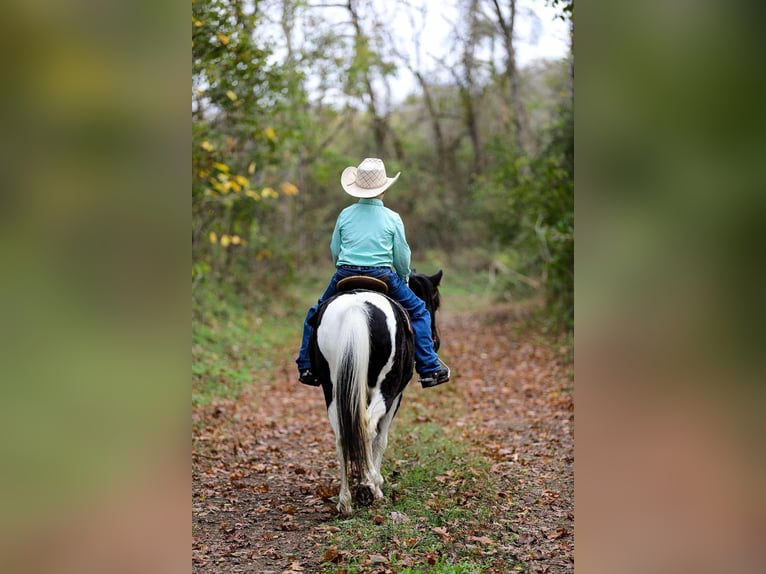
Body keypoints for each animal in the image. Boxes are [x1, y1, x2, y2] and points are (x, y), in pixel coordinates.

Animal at [308, 270, 443, 515]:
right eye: (434, 302)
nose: (435, 341)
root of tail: (355, 309)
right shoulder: (396, 396)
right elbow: (381, 439)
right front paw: (375, 483)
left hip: (331, 389)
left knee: (342, 435)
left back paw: (345, 501)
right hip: (386, 387)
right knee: (368, 426)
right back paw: (370, 485)